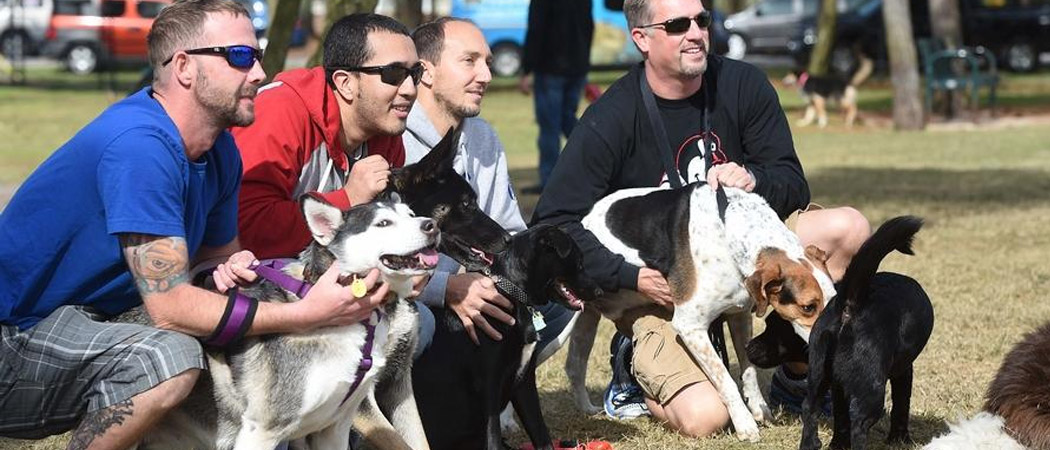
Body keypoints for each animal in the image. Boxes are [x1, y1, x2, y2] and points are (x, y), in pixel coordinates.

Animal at [413, 224, 604, 448]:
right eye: (579, 262)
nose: (600, 292)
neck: (512, 293)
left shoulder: (525, 382)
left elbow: (540, 430)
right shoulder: (489, 383)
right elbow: (493, 434)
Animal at [793, 216, 936, 446]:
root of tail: (850, 305)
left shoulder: (839, 385)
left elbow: (840, 417)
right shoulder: (904, 371)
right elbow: (901, 405)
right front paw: (900, 439)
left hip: (818, 375)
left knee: (810, 408)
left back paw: (813, 444)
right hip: (872, 390)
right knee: (859, 423)